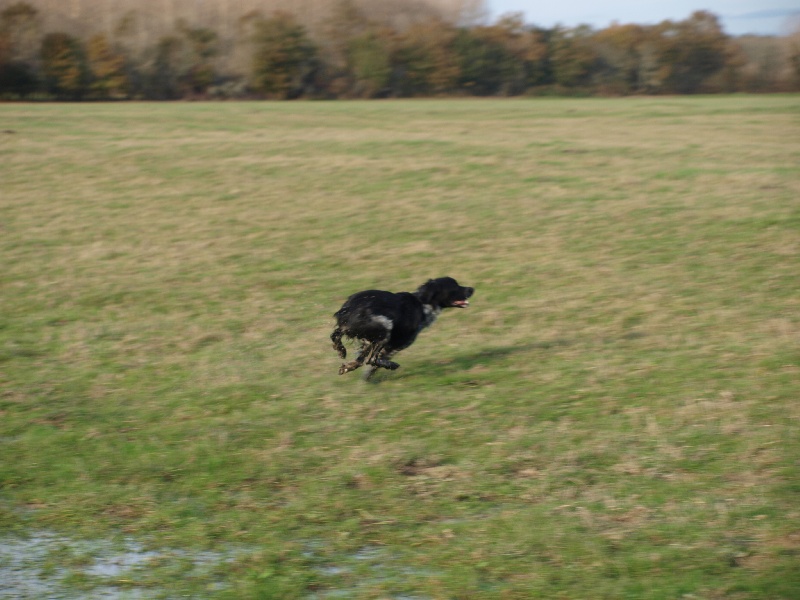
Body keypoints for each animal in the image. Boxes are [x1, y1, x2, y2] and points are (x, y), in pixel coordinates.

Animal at [332, 278, 476, 378]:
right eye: (455, 286)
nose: (472, 289)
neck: (422, 303)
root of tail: (349, 309)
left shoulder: (369, 342)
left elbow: (362, 359)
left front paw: (347, 367)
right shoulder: (396, 345)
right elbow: (371, 361)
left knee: (335, 335)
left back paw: (341, 350)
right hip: (385, 329)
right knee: (371, 359)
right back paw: (392, 366)